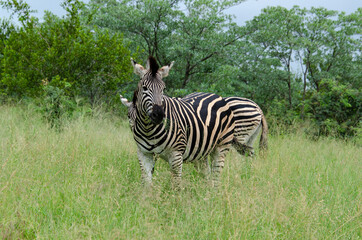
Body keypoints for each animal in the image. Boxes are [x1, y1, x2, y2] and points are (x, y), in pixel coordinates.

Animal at [126, 56, 236, 188]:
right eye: (144, 88)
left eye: (163, 88)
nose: (159, 115)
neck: (148, 129)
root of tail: (217, 96)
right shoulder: (144, 154)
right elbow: (146, 183)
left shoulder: (176, 155)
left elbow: (176, 185)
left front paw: (175, 194)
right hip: (201, 153)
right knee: (207, 176)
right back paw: (206, 193)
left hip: (221, 146)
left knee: (216, 177)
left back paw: (214, 192)